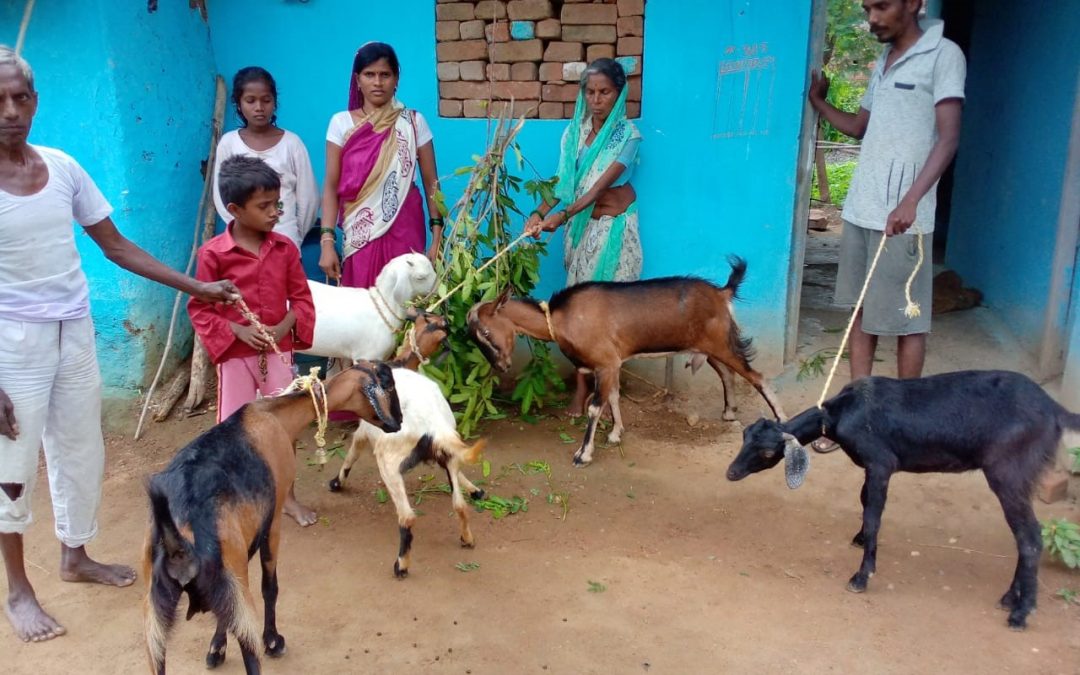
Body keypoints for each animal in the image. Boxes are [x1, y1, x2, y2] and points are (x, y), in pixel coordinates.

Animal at [139, 362, 401, 673]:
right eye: (389, 385)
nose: (398, 422)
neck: (276, 416)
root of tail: (176, 542)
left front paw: (216, 647)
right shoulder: (271, 522)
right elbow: (270, 585)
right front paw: (273, 641)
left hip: (156, 614)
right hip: (233, 588)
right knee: (251, 654)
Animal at [324, 369, 486, 578]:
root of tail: (434, 424)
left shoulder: (364, 431)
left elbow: (352, 455)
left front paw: (336, 483)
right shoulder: (447, 456)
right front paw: (475, 490)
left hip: (389, 462)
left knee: (407, 517)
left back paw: (401, 565)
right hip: (444, 453)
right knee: (459, 505)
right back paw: (467, 538)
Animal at [466, 254, 786, 466]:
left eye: (486, 331)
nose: (501, 366)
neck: (561, 317)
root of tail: (723, 293)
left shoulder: (605, 362)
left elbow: (596, 407)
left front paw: (583, 454)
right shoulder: (613, 363)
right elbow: (615, 397)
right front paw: (616, 434)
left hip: (721, 342)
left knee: (756, 377)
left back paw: (782, 419)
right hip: (708, 349)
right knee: (728, 374)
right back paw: (729, 411)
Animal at [725, 369, 1080, 626]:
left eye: (768, 452)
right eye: (744, 437)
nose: (731, 472)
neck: (841, 415)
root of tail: (1055, 410)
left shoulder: (881, 463)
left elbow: (873, 515)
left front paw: (861, 575)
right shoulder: (872, 467)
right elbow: (863, 500)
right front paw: (858, 540)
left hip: (1008, 473)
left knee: (1031, 537)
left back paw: (1021, 612)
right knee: (1025, 537)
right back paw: (1010, 599)